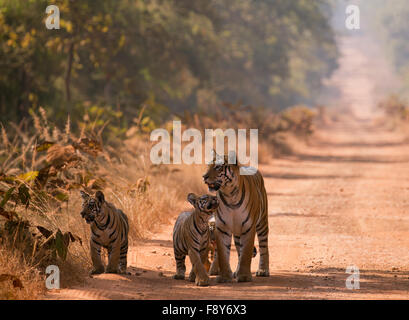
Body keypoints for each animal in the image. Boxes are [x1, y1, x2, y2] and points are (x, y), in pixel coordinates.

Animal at [203, 152, 268, 282]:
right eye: (208, 165)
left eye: (217, 167)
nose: (204, 176)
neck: (229, 195)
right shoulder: (222, 227)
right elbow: (223, 254)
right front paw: (224, 277)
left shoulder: (249, 227)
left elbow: (246, 252)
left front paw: (244, 276)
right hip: (238, 231)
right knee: (239, 250)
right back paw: (236, 272)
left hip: (262, 223)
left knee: (264, 247)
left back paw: (263, 270)